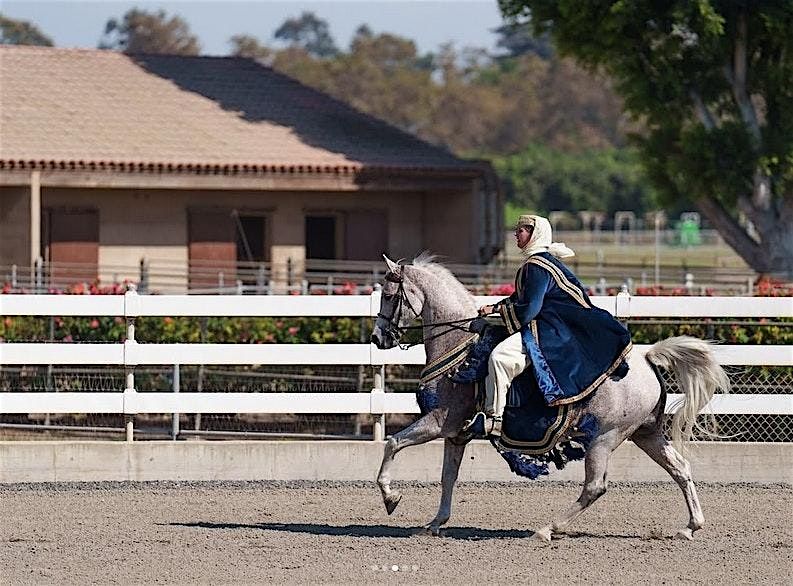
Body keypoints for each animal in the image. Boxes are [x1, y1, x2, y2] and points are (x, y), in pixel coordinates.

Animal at [372, 253, 732, 540]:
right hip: (646, 434)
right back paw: (690, 526)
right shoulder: (456, 434)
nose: (378, 338)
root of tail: (647, 359)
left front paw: (391, 498)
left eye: (389, 296)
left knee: (595, 487)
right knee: (680, 469)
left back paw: (548, 529)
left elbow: (392, 443)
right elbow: (448, 477)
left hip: (604, 438)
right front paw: (435, 523)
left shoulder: (438, 422)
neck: (458, 346)